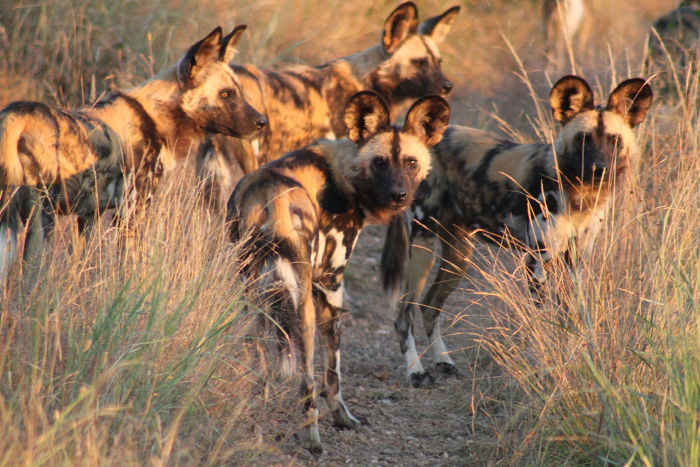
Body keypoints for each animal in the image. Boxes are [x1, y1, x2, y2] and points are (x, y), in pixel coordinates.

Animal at [0, 26, 266, 286]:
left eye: (238, 92)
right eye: (225, 94)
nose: (262, 122)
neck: (156, 116)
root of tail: (17, 113)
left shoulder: (89, 215)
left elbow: (79, 268)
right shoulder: (130, 214)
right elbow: (130, 270)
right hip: (41, 219)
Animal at [227, 89, 452, 452]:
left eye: (411, 162)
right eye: (379, 163)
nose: (399, 195)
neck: (345, 174)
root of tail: (271, 194)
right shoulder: (331, 286)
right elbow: (333, 374)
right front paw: (343, 419)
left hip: (252, 301)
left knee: (256, 370)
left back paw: (254, 432)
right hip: (302, 305)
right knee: (307, 381)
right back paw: (313, 440)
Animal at [380, 75, 652, 388]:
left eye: (614, 140)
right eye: (583, 139)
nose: (600, 169)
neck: (581, 195)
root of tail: (416, 143)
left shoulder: (574, 264)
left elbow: (571, 321)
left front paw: (576, 361)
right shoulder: (538, 263)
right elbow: (544, 323)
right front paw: (546, 366)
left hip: (459, 255)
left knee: (429, 306)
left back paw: (444, 362)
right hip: (422, 247)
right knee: (405, 314)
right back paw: (416, 371)